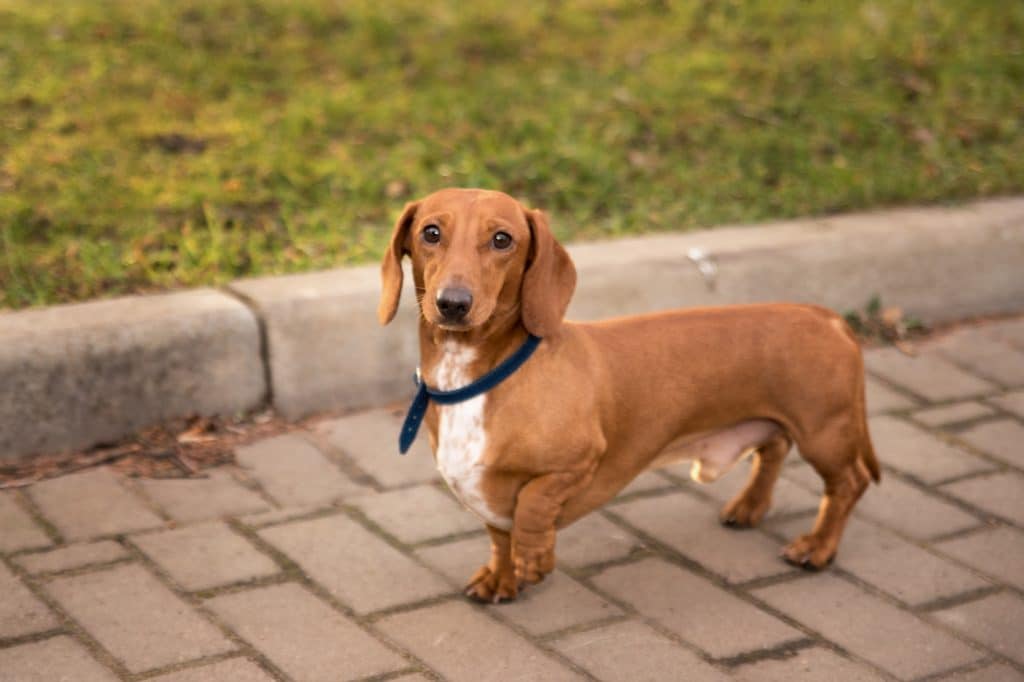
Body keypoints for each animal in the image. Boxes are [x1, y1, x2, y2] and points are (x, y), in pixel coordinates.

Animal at [380, 186, 876, 602]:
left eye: (503, 239)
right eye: (430, 233)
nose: (452, 304)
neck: (484, 375)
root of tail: (825, 316)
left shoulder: (578, 462)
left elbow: (531, 506)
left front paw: (533, 558)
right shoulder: (482, 492)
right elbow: (499, 535)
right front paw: (501, 576)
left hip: (824, 433)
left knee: (848, 484)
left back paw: (817, 546)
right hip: (776, 422)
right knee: (773, 448)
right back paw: (750, 506)